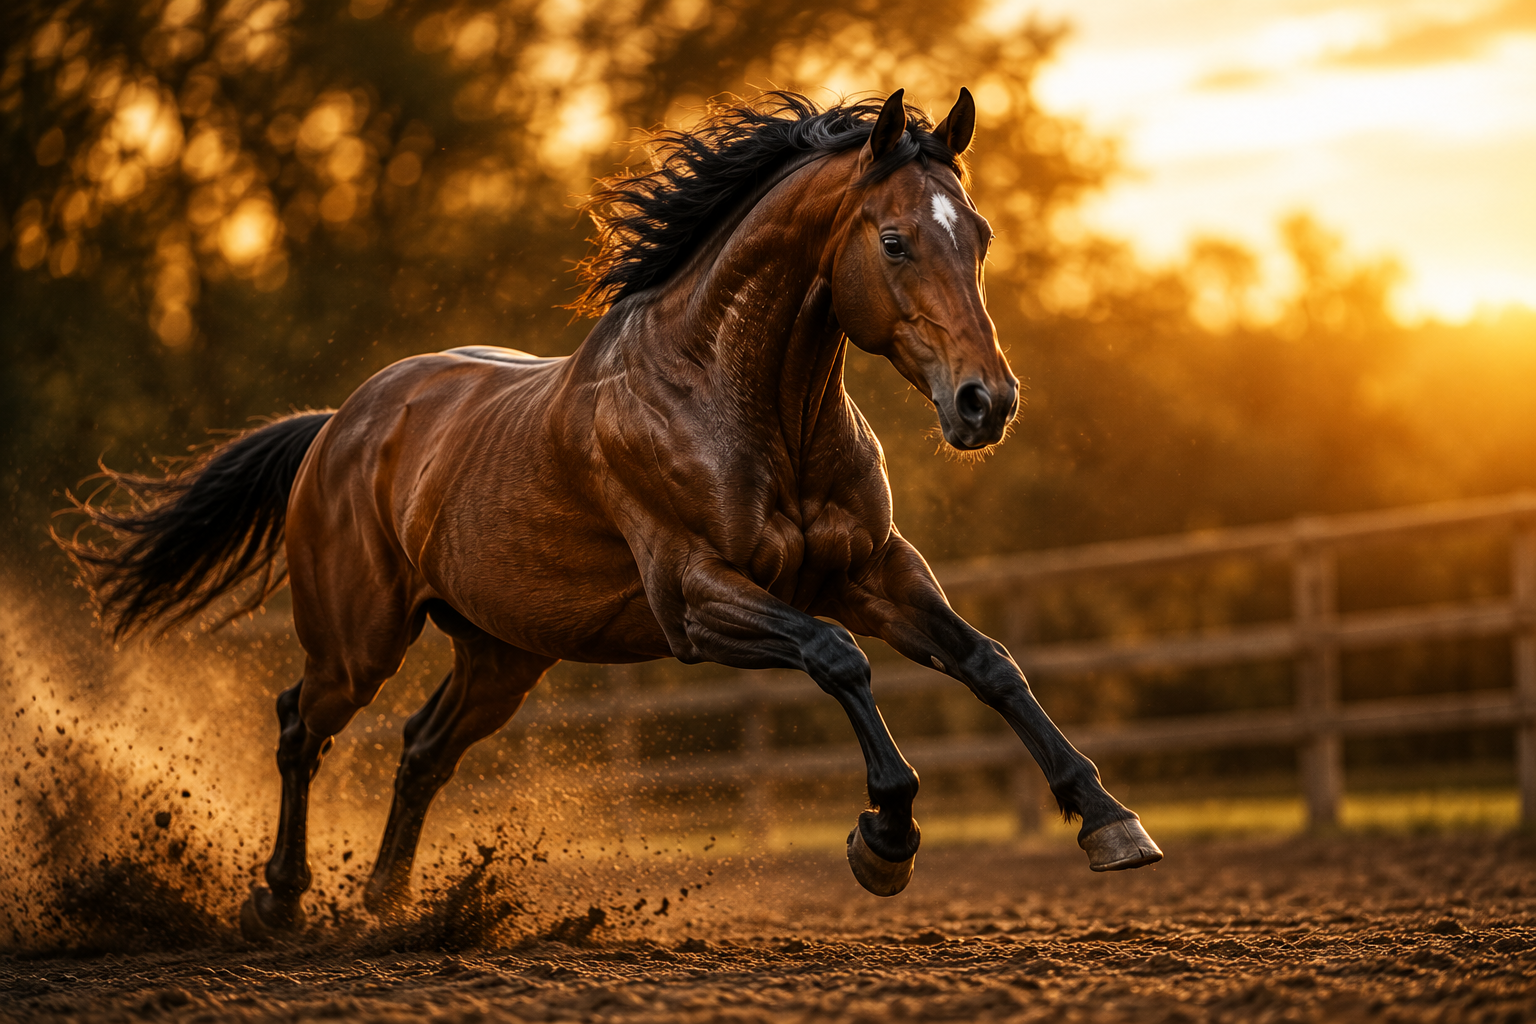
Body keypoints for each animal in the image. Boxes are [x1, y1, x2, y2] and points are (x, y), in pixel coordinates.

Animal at [62, 88, 1162, 939]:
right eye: (893, 240)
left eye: (976, 236)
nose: (987, 403)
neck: (737, 400)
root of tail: (338, 424)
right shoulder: (698, 600)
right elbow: (838, 658)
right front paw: (883, 841)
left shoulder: (875, 571)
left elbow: (990, 662)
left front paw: (1111, 821)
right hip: (357, 642)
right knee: (301, 724)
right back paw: (281, 904)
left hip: (502, 654)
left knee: (422, 749)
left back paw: (390, 909)